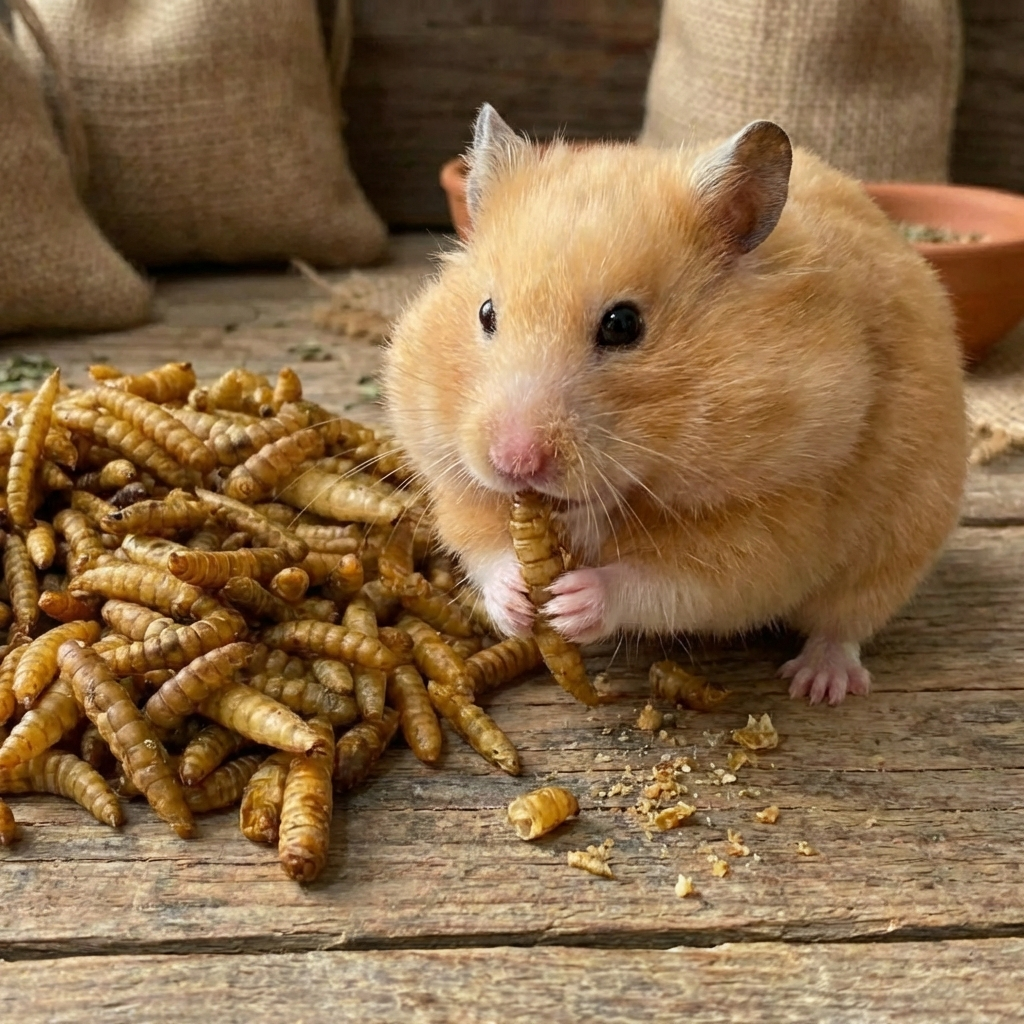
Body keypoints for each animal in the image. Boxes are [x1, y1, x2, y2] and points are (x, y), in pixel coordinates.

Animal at [383, 104, 967, 705]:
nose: (514, 462)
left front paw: (573, 601)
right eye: (486, 313)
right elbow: (482, 545)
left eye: (622, 325)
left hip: (901, 541)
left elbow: (674, 582)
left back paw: (819, 685)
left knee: (845, 624)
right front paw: (517, 598)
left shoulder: (776, 520)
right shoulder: (455, 482)